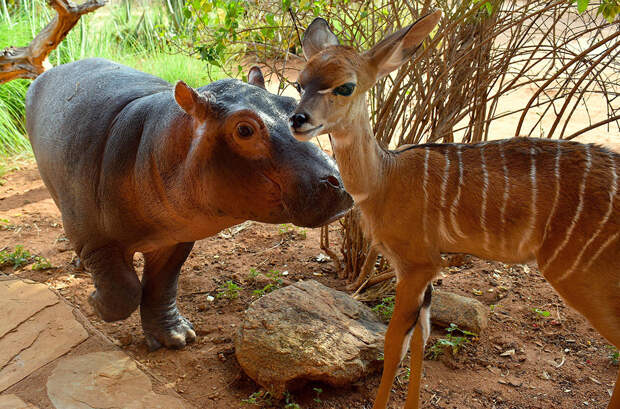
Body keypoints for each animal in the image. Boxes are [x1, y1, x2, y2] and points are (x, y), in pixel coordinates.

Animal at [288, 11, 616, 408]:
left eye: (345, 87)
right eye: (299, 83)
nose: (298, 120)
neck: (385, 178)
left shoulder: (415, 263)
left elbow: (394, 343)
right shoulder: (430, 268)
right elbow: (422, 337)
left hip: (579, 274)